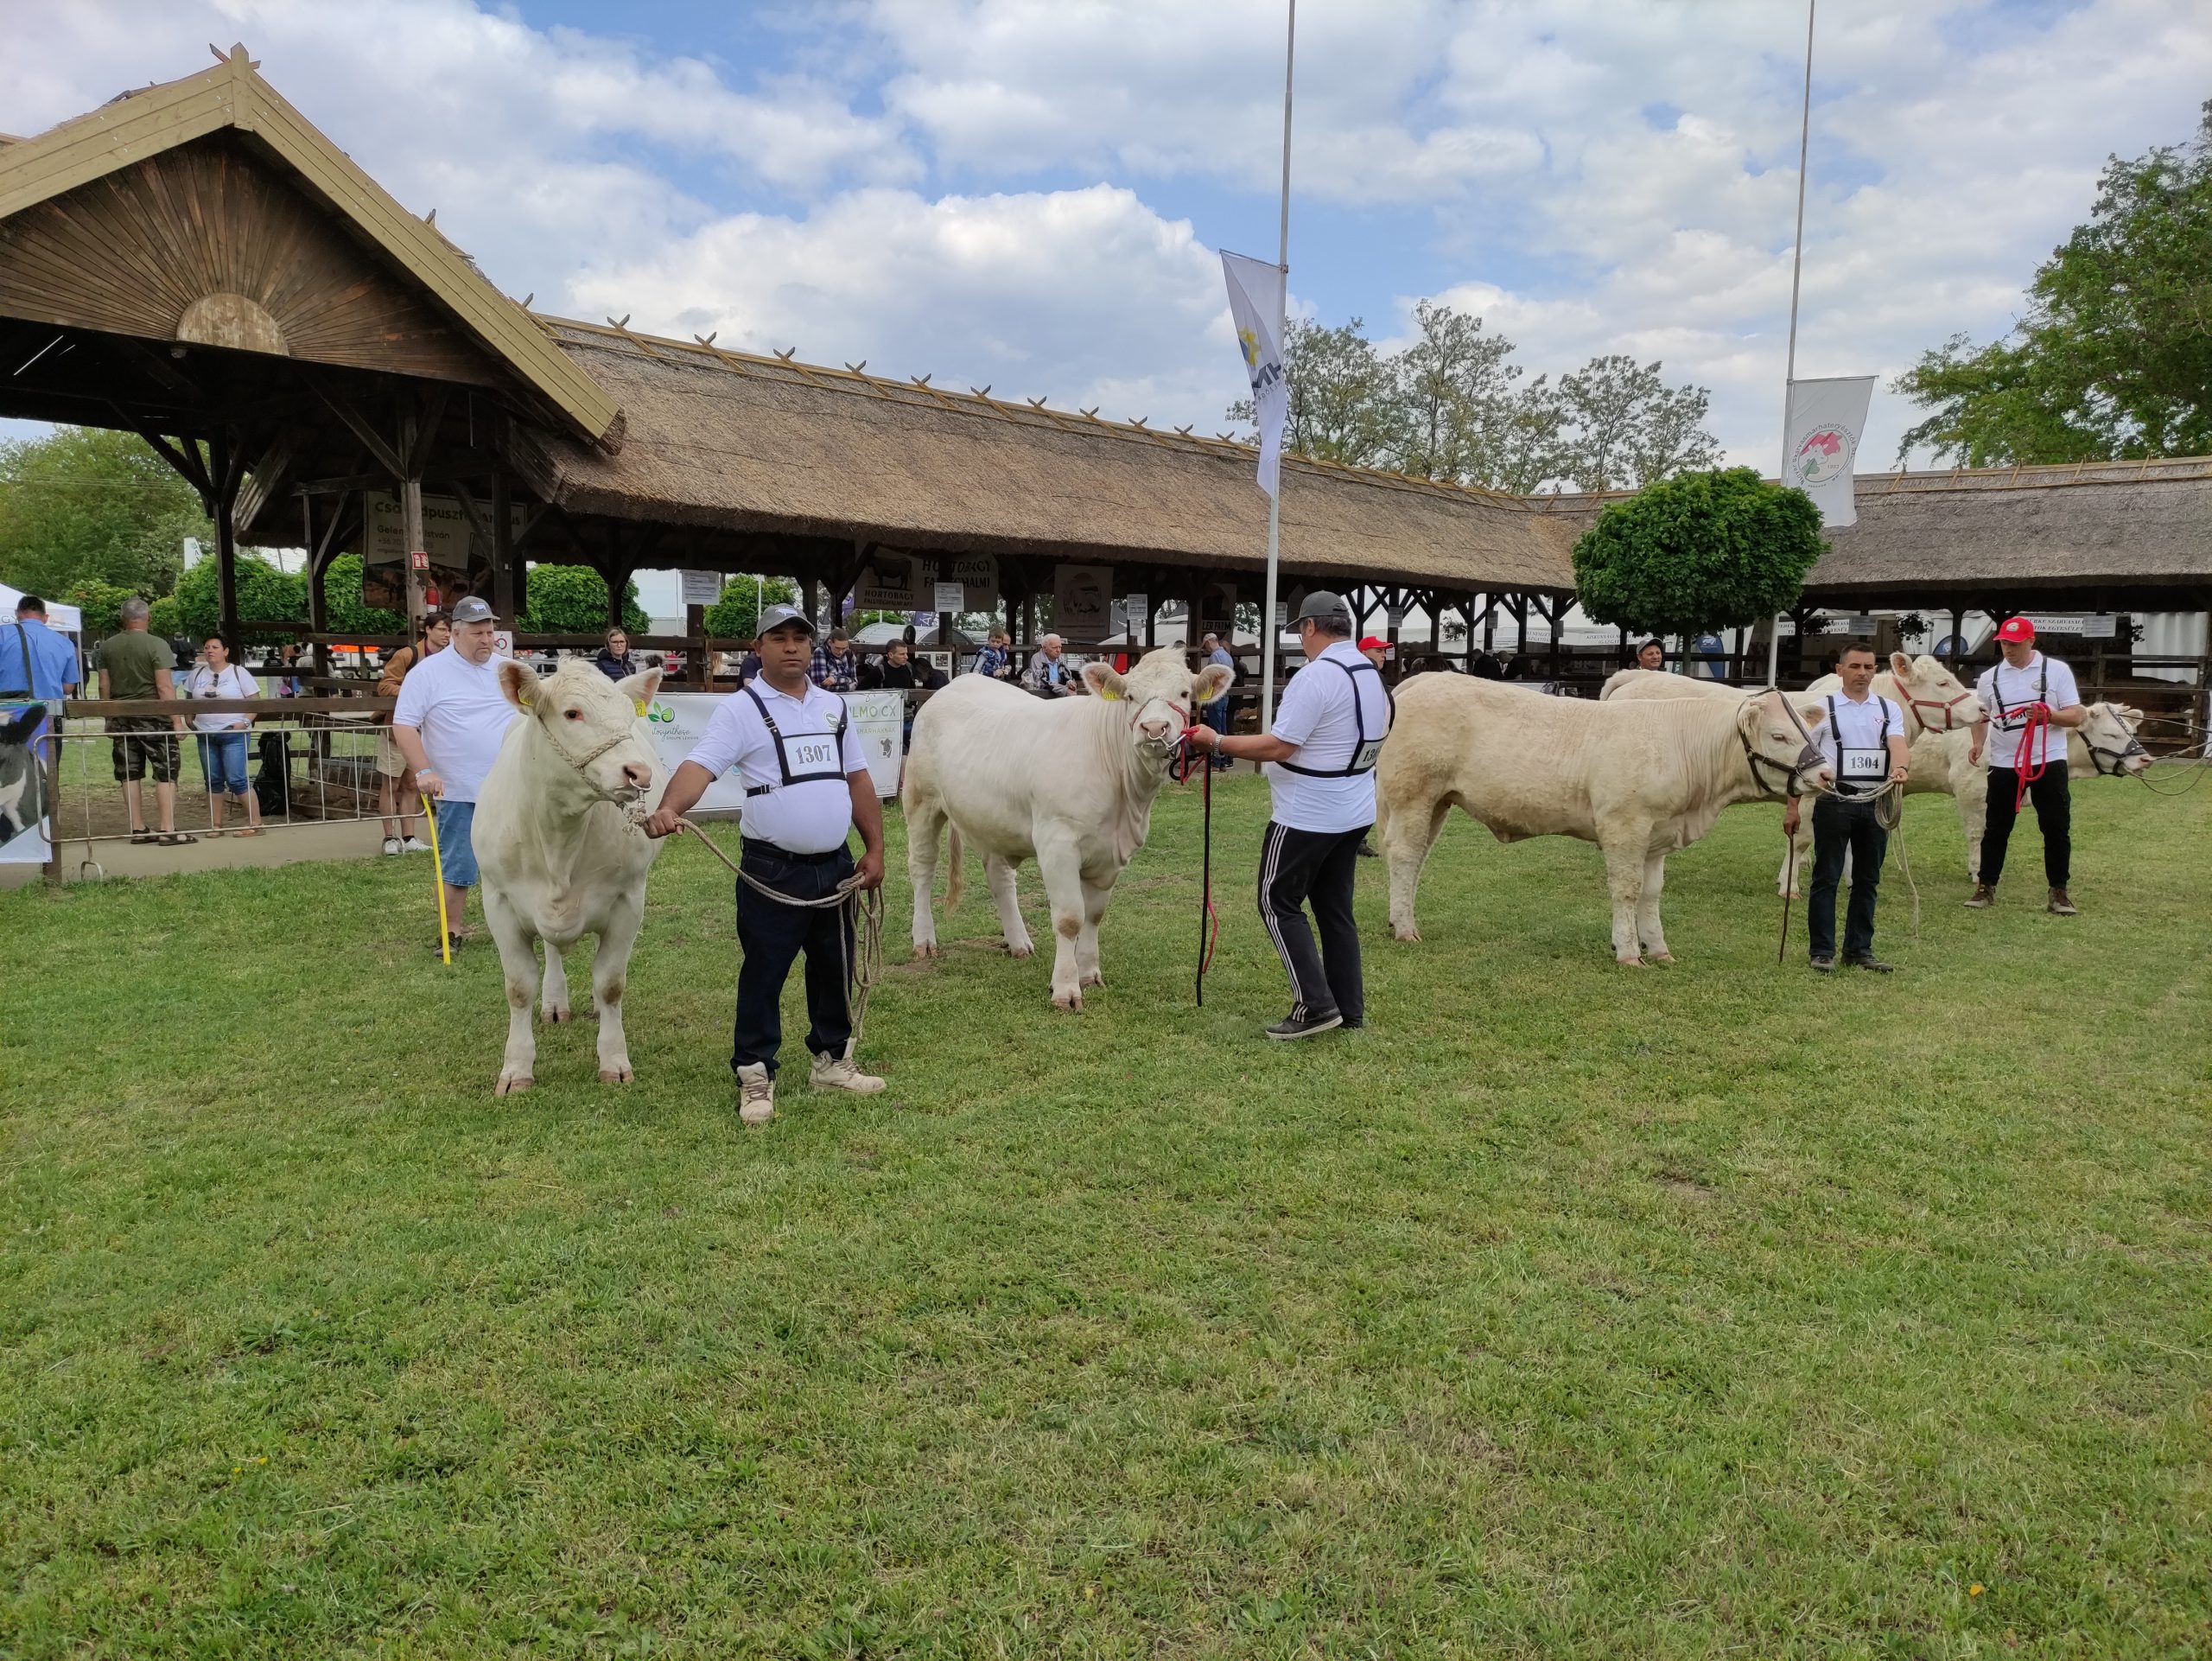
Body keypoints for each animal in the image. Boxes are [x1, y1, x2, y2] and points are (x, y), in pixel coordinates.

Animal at [475, 654, 664, 1097]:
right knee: (552, 951)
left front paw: (614, 1060)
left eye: (628, 716)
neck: (558, 837)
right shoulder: (498, 900)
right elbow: (519, 987)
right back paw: (555, 1003)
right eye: (572, 713)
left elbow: (610, 983)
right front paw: (516, 1068)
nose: (638, 772)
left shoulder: (629, 899)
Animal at [902, 646, 1247, 1013]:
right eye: (1130, 696)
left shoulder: (1110, 853)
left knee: (999, 878)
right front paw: (1066, 989)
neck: (1125, 800)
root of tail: (954, 685)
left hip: (993, 819)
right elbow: (1069, 918)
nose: (1154, 727)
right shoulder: (1058, 843)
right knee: (922, 869)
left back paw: (1019, 942)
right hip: (920, 801)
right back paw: (924, 939)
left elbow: (1093, 915)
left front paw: (1089, 974)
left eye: (1183, 693)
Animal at [1380, 677, 1831, 959]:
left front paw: (1659, 948)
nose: (1827, 774)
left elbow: (1652, 893)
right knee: (1403, 855)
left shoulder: (1658, 835)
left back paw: (1398, 918)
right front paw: (1628, 950)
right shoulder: (1624, 826)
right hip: (1413, 795)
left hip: (1440, 801)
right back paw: (1405, 929)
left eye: (1807, 732)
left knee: (1417, 860)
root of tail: (1423, 680)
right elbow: (1627, 890)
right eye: (1778, 735)